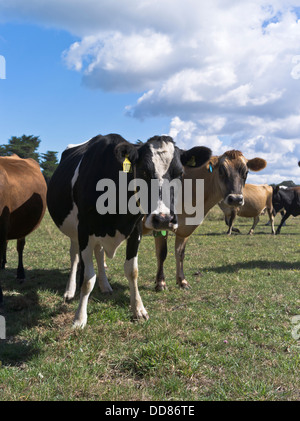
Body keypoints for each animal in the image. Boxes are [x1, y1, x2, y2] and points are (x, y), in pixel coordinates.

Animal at [47, 133, 211, 326]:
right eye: (144, 172)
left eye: (180, 173)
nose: (164, 219)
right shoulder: (84, 231)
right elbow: (87, 279)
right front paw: (79, 318)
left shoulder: (135, 230)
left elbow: (132, 271)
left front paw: (138, 310)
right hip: (74, 231)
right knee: (74, 256)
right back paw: (70, 291)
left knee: (99, 253)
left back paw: (105, 286)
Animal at [144, 149, 268, 290]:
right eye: (221, 170)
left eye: (246, 172)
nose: (236, 199)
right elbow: (162, 253)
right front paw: (160, 283)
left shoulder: (185, 228)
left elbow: (180, 253)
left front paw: (182, 281)